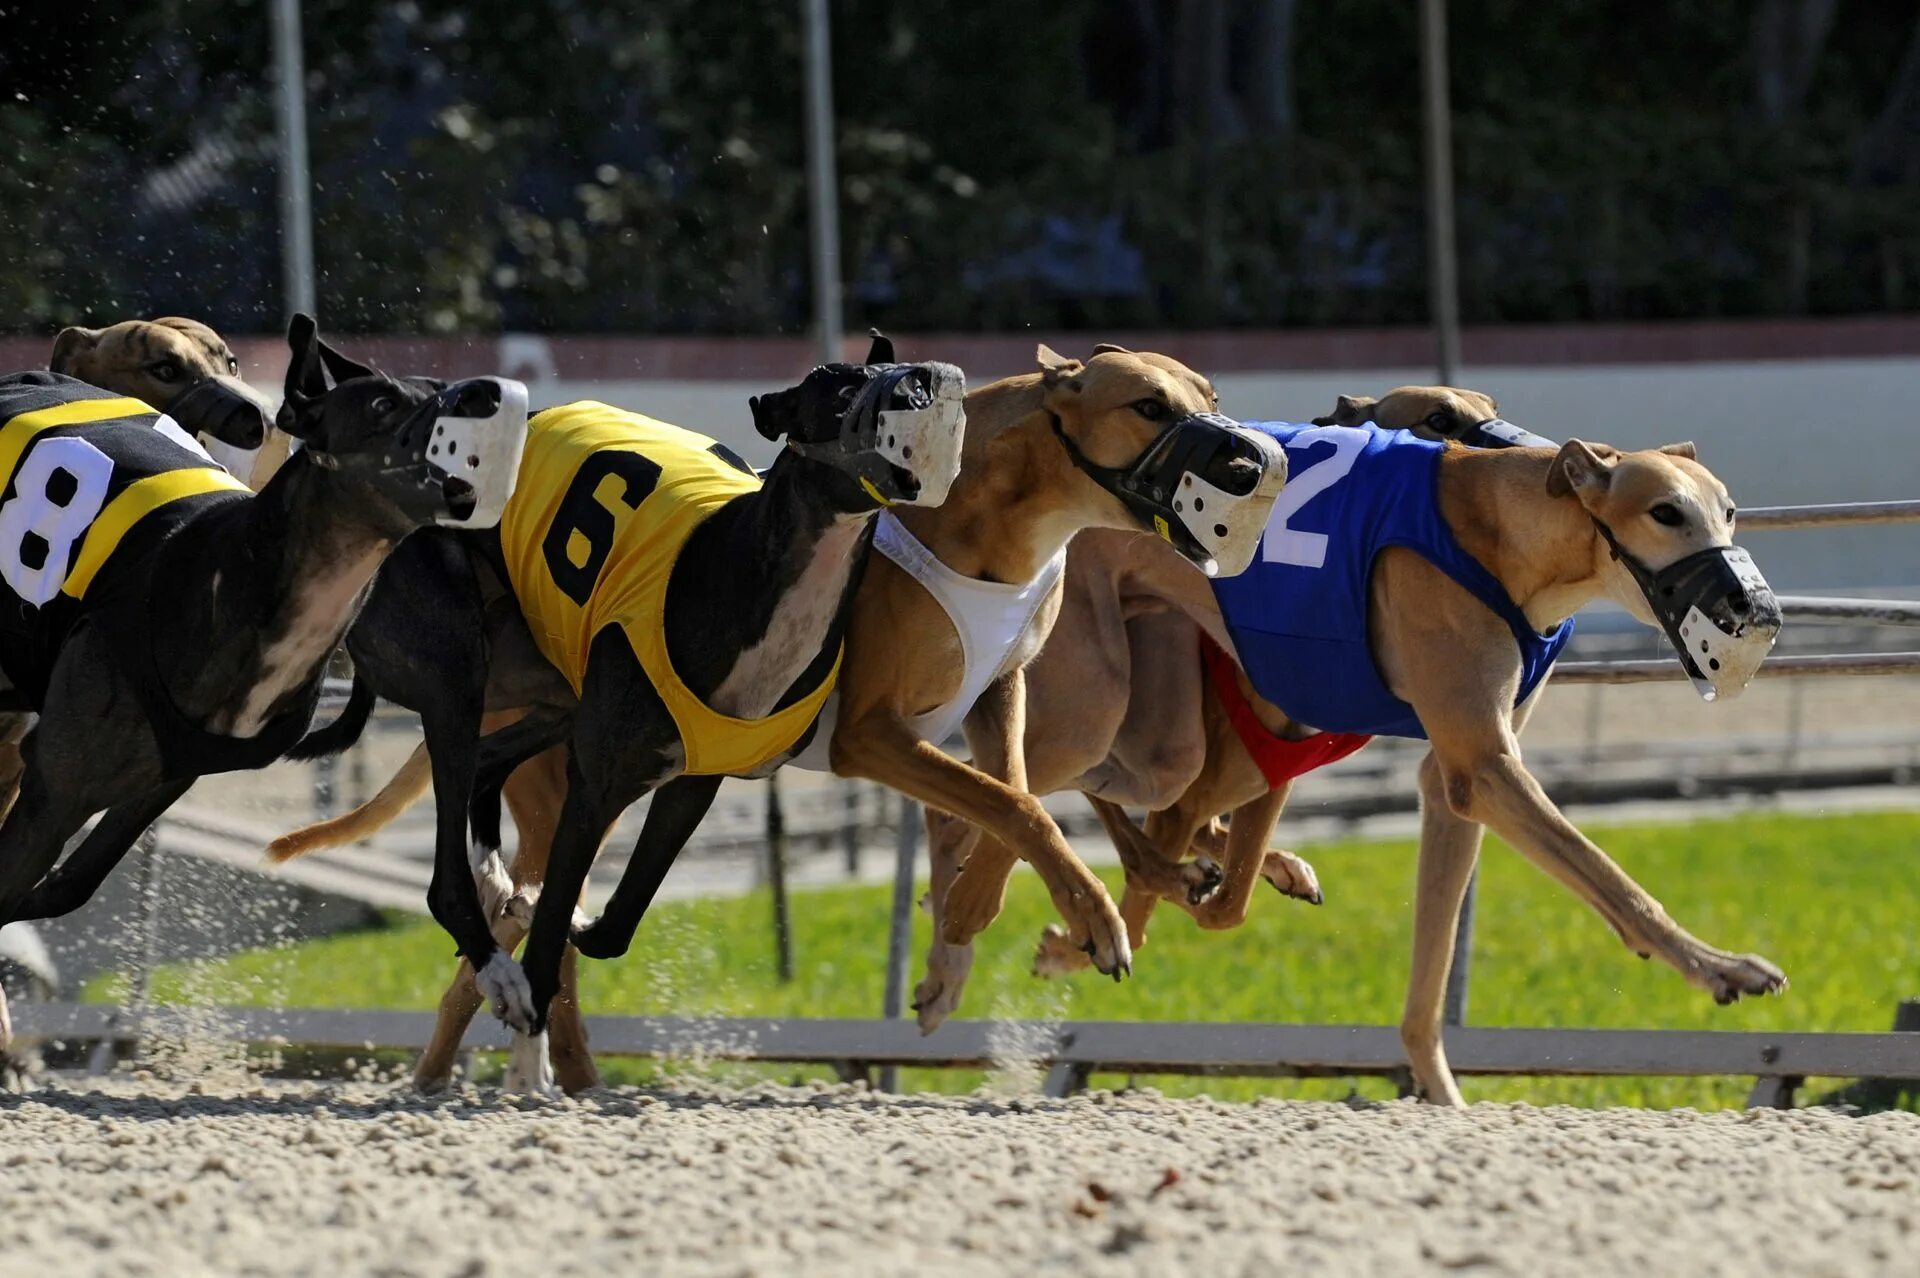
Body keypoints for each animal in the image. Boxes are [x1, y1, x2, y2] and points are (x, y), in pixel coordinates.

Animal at [0, 312, 526, 1043]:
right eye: (382, 403)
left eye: (437, 391)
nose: (484, 397)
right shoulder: (55, 787)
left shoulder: (160, 778)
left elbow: (62, 886)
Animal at [274, 343, 1290, 1089]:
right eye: (1149, 407)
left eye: (1206, 393)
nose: (1248, 459)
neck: (991, 526)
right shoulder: (874, 735)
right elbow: (1016, 806)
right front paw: (1082, 922)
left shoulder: (1000, 692)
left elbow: (1010, 803)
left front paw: (961, 941)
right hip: (559, 772)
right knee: (519, 921)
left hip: (550, 715)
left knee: (509, 892)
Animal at [929, 385, 1781, 1097]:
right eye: (1666, 513)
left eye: (1731, 512)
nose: (1754, 605)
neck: (1503, 531)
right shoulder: (1485, 767)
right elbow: (1610, 877)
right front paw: (1723, 968)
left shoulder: (1452, 776)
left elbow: (1428, 976)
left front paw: (1440, 1094)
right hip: (1095, 708)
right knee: (981, 798)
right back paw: (957, 950)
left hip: (1157, 734)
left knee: (1064, 804)